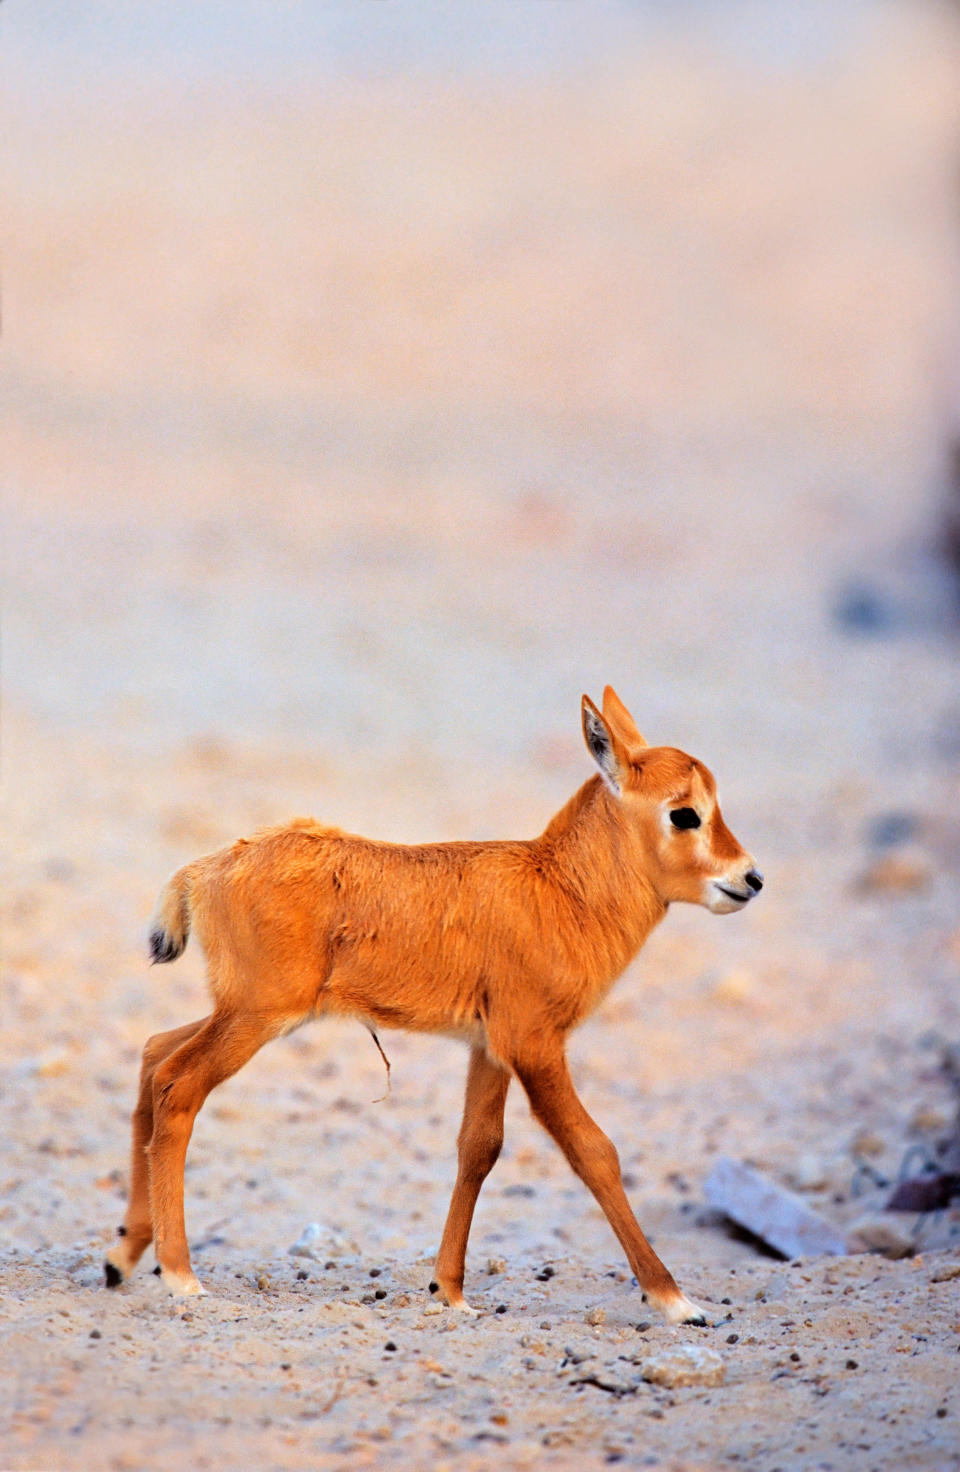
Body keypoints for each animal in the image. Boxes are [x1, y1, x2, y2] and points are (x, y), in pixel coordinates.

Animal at [105, 685, 759, 1324]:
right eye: (684, 812)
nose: (749, 879)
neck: (560, 888)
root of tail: (207, 868)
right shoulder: (535, 1047)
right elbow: (594, 1150)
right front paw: (676, 1301)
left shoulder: (489, 1050)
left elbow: (479, 1148)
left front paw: (449, 1290)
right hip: (256, 1019)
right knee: (177, 1084)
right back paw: (182, 1277)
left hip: (246, 1013)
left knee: (154, 1054)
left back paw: (122, 1258)